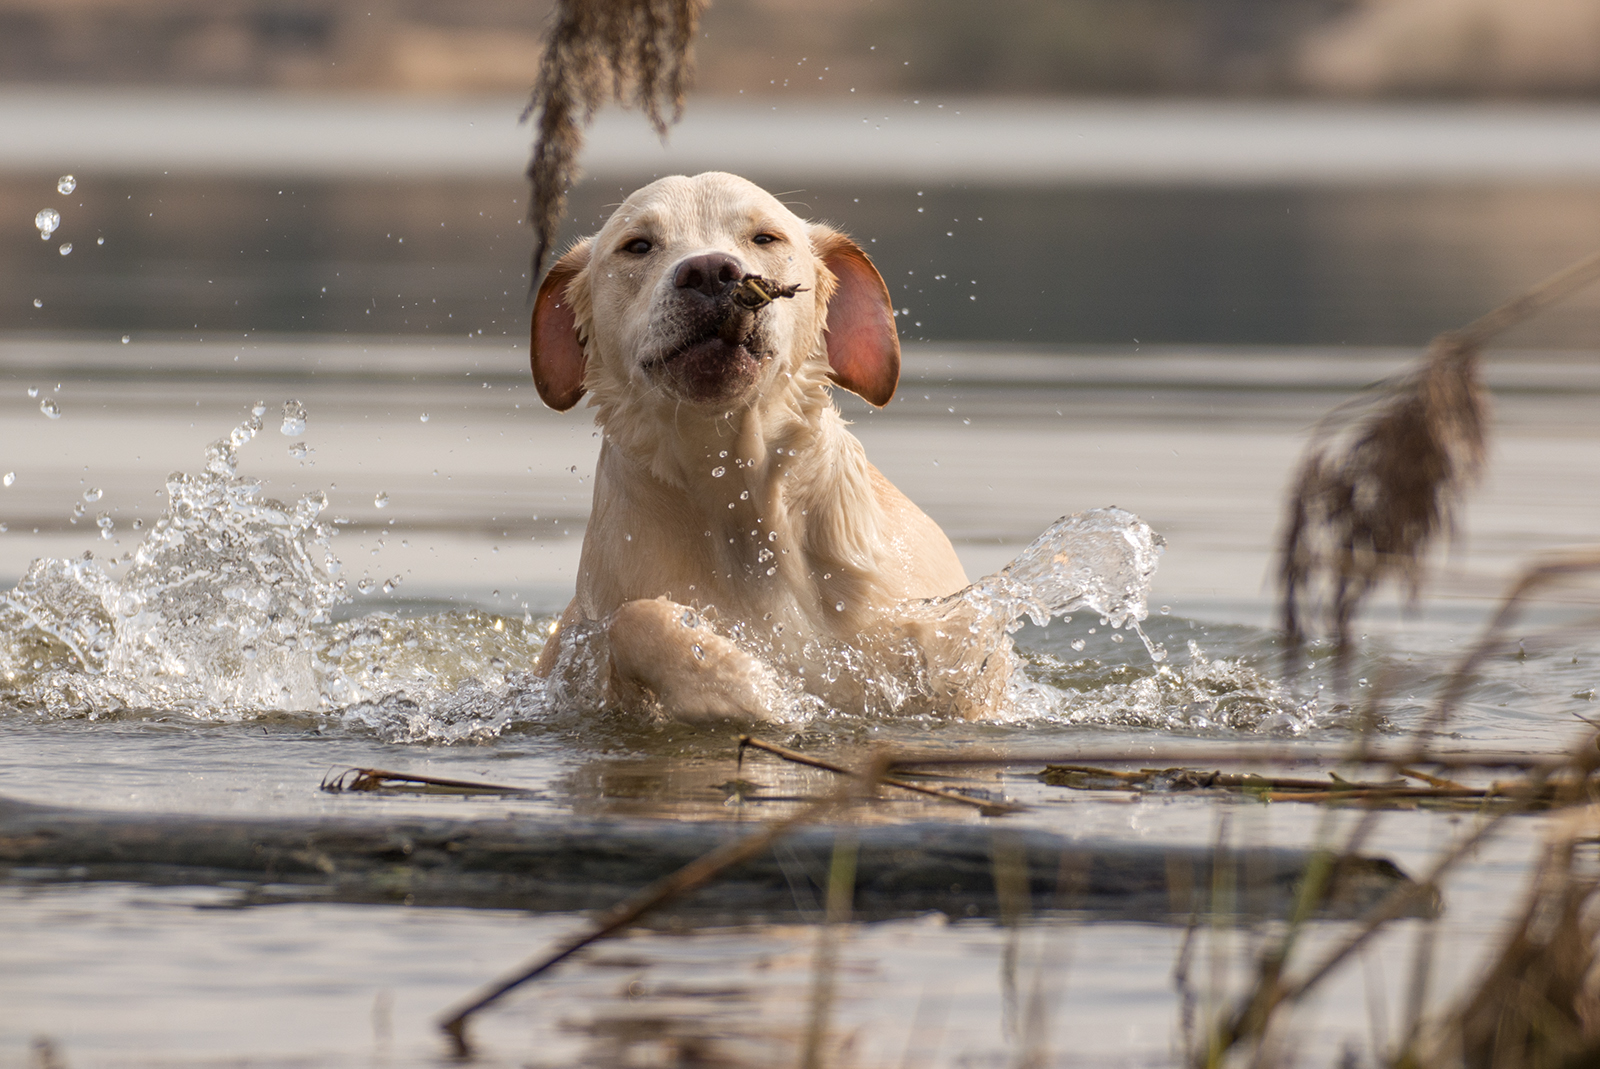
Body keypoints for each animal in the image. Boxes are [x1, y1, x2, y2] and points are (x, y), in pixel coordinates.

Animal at [528, 171, 998, 716]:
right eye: (638, 246)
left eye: (765, 237)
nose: (711, 271)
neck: (740, 495)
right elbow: (638, 619)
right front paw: (742, 687)